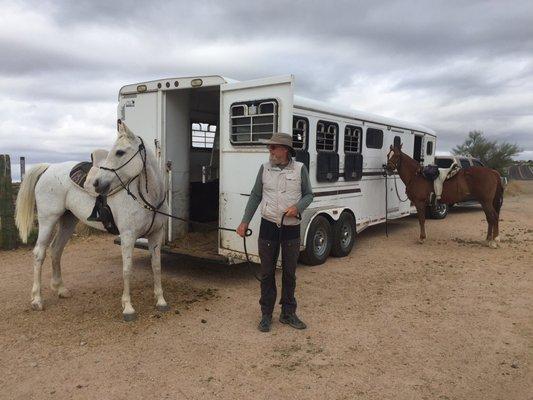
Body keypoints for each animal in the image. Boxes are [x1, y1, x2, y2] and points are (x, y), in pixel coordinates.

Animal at [15, 122, 168, 322]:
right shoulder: (128, 236)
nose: (97, 184)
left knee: (56, 250)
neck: (148, 197)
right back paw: (37, 300)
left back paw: (61, 289)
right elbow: (127, 269)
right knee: (39, 253)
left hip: (68, 221)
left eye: (120, 152)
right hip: (48, 220)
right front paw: (128, 308)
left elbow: (156, 267)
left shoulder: (156, 235)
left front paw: (161, 300)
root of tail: (49, 168)